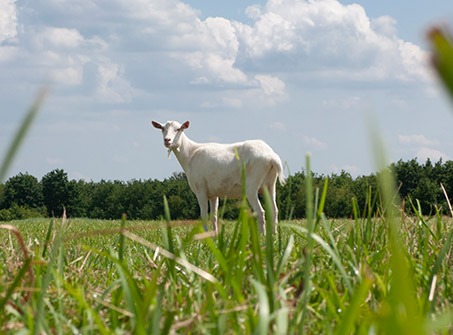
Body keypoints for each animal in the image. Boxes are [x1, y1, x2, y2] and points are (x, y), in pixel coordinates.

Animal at [154, 122, 284, 235]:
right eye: (162, 129)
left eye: (178, 129)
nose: (167, 140)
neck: (190, 153)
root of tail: (272, 156)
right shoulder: (213, 193)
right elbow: (214, 216)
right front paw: (214, 235)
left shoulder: (200, 189)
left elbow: (204, 215)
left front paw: (205, 237)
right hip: (270, 184)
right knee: (274, 209)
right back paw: (274, 235)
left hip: (252, 185)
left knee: (260, 211)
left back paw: (262, 236)